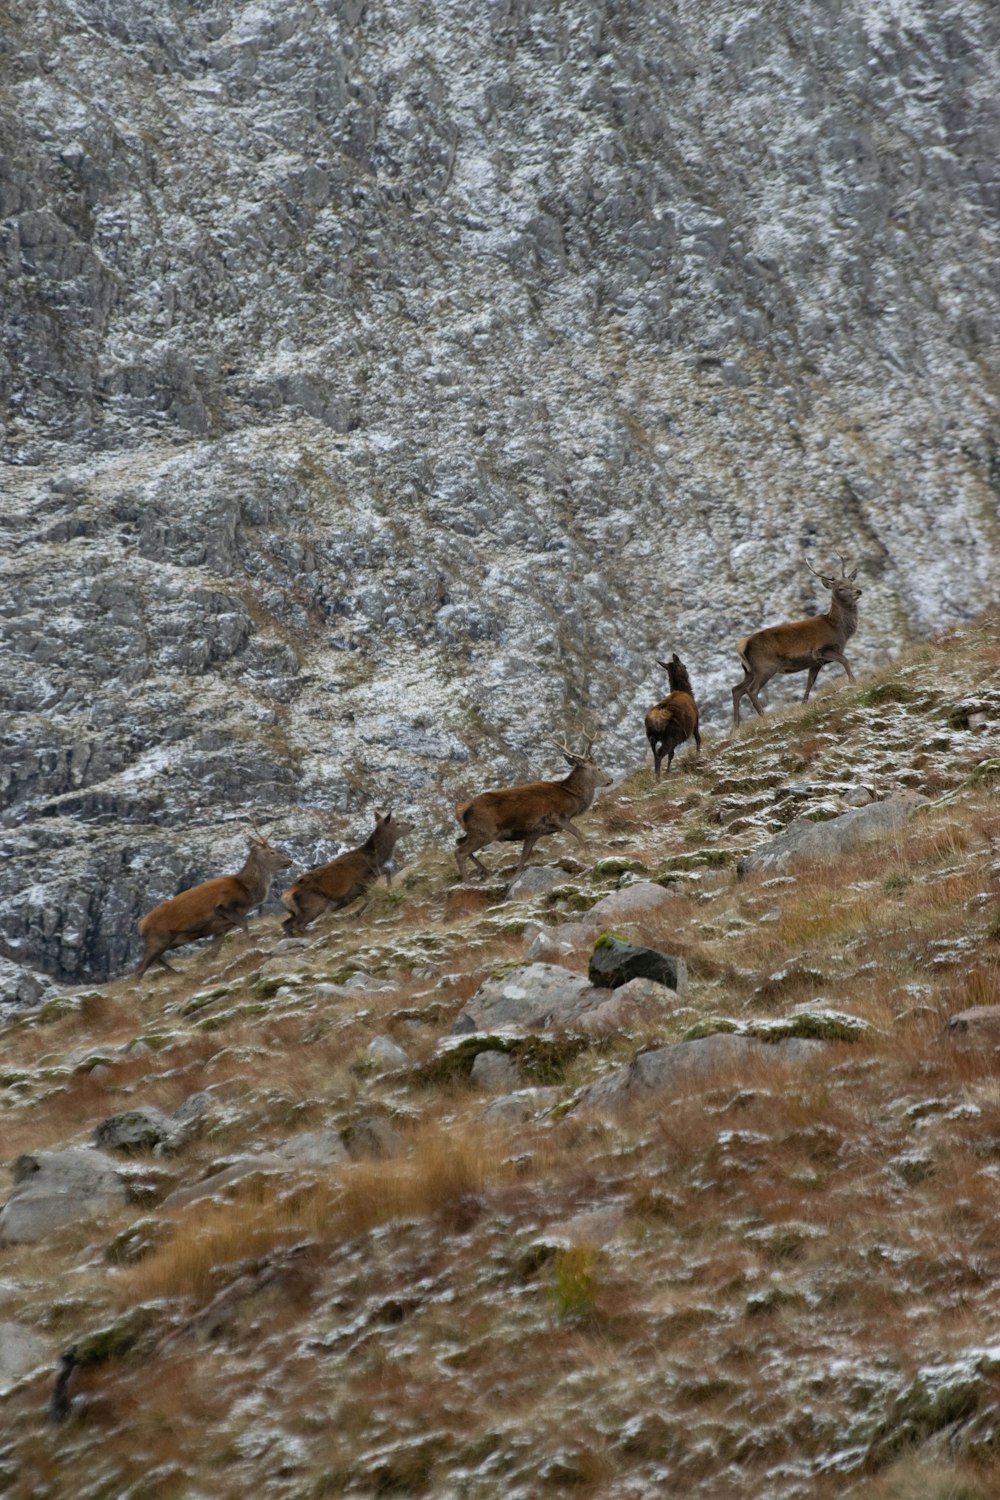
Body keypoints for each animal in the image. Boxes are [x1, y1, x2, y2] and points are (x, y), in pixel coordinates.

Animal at [132, 828, 290, 978]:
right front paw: (250, 945)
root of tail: (140, 925)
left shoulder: (220, 928)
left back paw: (176, 973)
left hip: (168, 942)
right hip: (158, 940)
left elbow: (214, 953)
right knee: (140, 969)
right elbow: (244, 925)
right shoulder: (224, 906)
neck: (246, 891)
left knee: (155, 961)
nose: (290, 861)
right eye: (272, 852)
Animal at [280, 816, 413, 930]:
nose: (412, 825)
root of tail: (286, 896)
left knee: (286, 924)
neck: (376, 858)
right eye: (397, 823)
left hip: (298, 911)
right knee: (298, 924)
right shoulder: (361, 881)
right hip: (315, 905)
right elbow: (372, 893)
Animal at [452, 738, 611, 876]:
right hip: (485, 832)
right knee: (460, 852)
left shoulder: (535, 832)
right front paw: (588, 854)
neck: (572, 796)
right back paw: (468, 882)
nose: (610, 780)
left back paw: (487, 872)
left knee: (458, 842)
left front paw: (517, 874)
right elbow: (578, 832)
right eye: (599, 768)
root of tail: (460, 811)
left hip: (476, 832)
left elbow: (524, 856)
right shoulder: (556, 816)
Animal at [644, 651, 701, 780]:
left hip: (652, 737)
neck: (686, 691)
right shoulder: (695, 721)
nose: (686, 668)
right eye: (684, 666)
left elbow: (671, 754)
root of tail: (654, 721)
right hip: (670, 736)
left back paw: (657, 775)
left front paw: (668, 771)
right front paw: (698, 756)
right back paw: (658, 779)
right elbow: (698, 739)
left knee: (656, 754)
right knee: (660, 754)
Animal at [731, 561, 863, 729]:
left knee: (736, 689)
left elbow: (810, 682)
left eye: (851, 582)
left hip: (750, 671)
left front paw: (804, 704)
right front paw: (852, 682)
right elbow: (845, 660)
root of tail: (741, 645)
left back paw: (735, 727)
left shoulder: (816, 662)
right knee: (751, 690)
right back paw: (764, 717)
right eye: (840, 588)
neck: (839, 630)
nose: (858, 591)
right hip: (765, 667)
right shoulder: (820, 650)